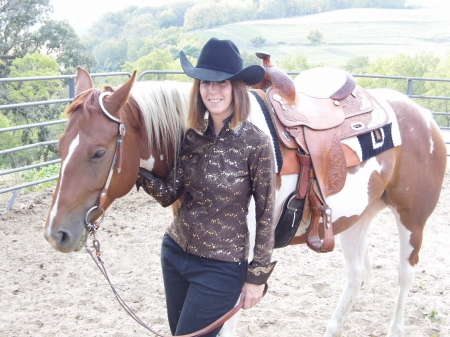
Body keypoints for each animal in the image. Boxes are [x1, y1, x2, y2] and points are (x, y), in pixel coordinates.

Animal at [44, 66, 446, 336]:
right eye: (60, 147)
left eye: (98, 152)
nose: (55, 234)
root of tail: (424, 116)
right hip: (354, 218)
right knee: (358, 272)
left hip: (412, 220)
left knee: (405, 273)